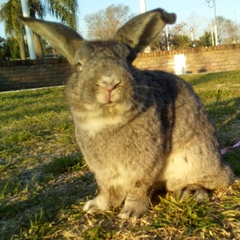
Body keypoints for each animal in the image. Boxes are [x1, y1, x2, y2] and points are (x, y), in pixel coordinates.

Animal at [19, 7, 233, 219]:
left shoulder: (143, 165)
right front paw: (96, 206)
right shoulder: (105, 173)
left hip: (192, 161)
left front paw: (130, 213)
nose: (109, 83)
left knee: (213, 182)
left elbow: (138, 188)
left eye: (127, 61)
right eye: (79, 65)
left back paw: (191, 192)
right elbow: (108, 191)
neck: (107, 120)